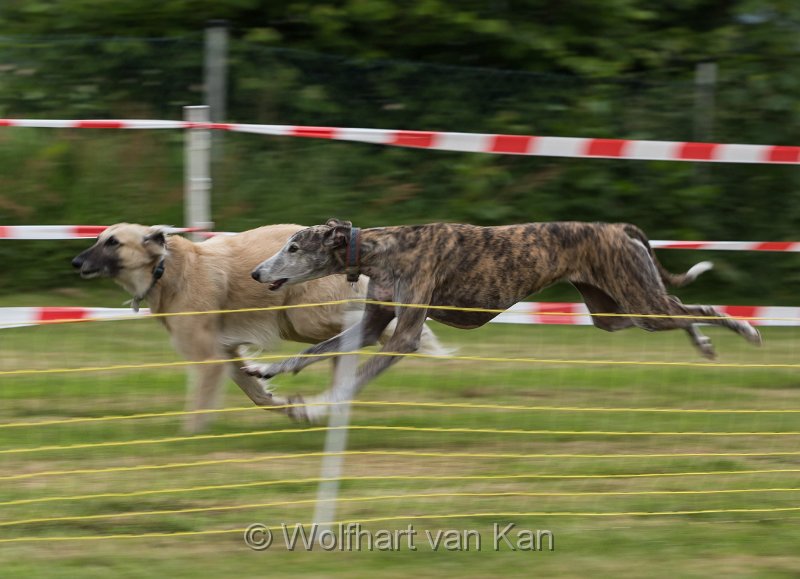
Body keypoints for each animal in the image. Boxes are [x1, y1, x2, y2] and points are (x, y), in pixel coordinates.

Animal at [245, 218, 764, 422]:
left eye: (294, 247)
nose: (256, 273)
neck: (384, 247)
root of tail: (619, 228)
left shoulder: (402, 337)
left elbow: (350, 381)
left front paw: (314, 407)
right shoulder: (374, 325)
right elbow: (311, 351)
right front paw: (265, 369)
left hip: (639, 302)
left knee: (699, 308)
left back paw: (746, 329)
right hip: (616, 314)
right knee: (680, 310)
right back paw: (704, 344)